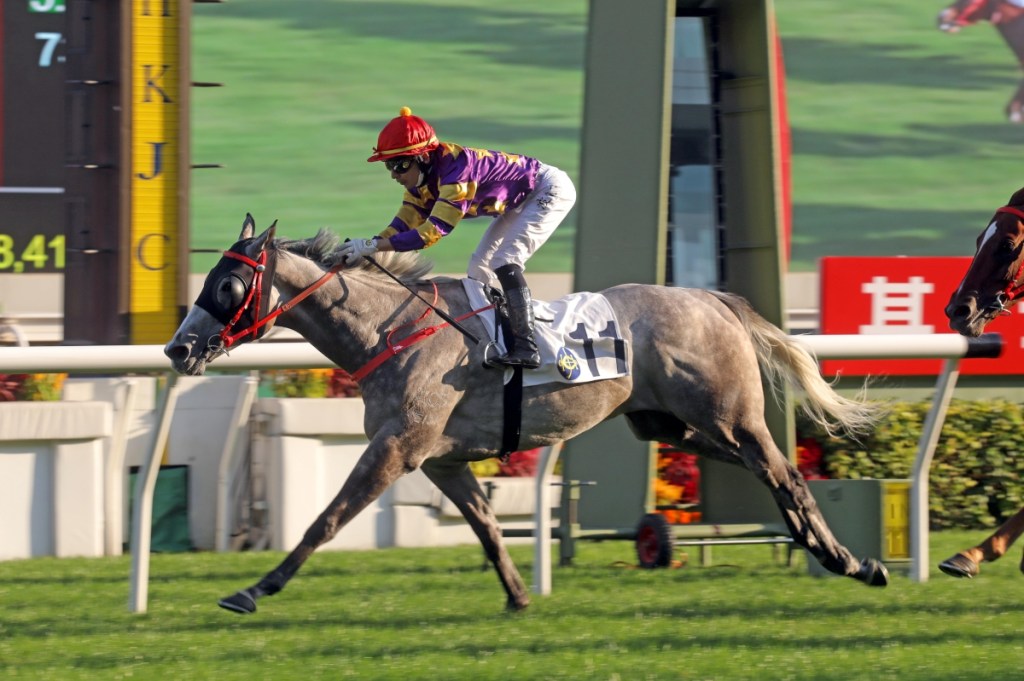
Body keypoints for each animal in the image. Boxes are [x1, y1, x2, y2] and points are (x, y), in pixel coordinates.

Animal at [164, 214, 891, 615]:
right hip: (674, 425)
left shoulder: (398, 448)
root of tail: (716, 299)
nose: (178, 348)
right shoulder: (441, 459)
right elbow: (486, 528)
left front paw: (253, 590)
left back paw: (847, 559)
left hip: (729, 417)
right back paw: (839, 556)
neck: (389, 330)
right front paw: (518, 596)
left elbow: (326, 519)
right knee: (770, 475)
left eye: (226, 285)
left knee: (786, 474)